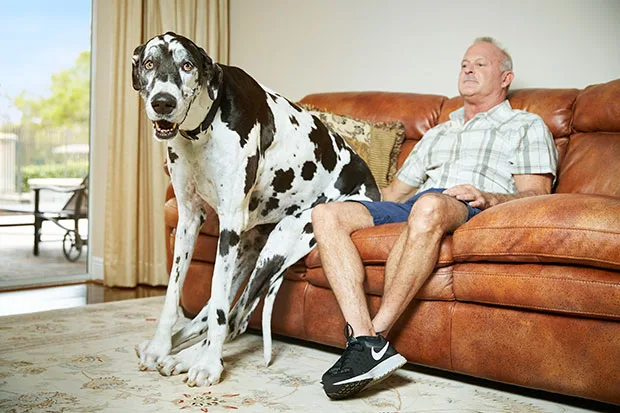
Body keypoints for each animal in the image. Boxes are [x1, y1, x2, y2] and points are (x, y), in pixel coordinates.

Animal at [133, 33, 380, 386]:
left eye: (187, 65)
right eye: (150, 63)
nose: (162, 102)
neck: (203, 130)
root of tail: (372, 187)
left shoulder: (228, 225)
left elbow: (221, 312)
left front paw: (209, 366)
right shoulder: (189, 220)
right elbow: (173, 295)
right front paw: (158, 347)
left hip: (280, 241)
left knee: (232, 317)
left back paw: (191, 358)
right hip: (247, 249)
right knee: (217, 313)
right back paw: (178, 352)